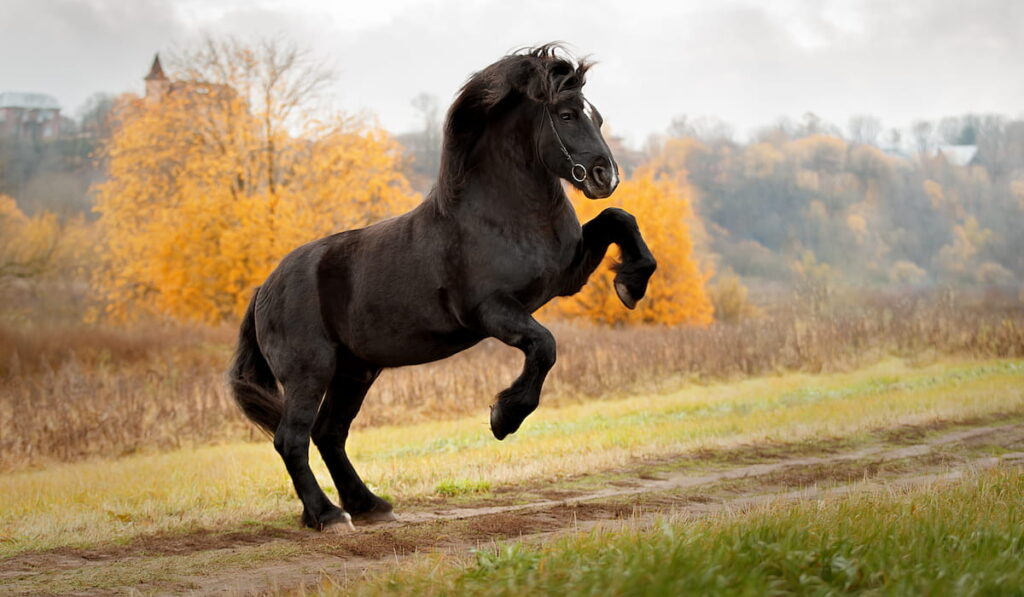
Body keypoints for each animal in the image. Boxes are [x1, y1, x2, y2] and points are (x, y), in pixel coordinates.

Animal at [228, 44, 655, 536]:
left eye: (597, 118)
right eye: (566, 115)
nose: (606, 177)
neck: (502, 214)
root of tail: (264, 289)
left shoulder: (568, 276)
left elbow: (619, 219)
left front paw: (630, 284)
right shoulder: (492, 310)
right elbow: (544, 345)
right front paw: (504, 417)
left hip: (355, 371)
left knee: (328, 433)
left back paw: (369, 505)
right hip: (309, 371)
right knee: (292, 439)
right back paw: (329, 516)